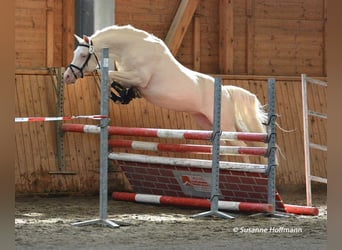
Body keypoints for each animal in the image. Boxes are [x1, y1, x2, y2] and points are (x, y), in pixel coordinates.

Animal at [62, 24, 268, 163]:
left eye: (82, 55)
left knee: (242, 148)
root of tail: (225, 91)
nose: (66, 76)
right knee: (229, 146)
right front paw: (122, 94)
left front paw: (118, 93)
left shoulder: (139, 77)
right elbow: (113, 78)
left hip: (225, 124)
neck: (131, 47)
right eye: (74, 53)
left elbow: (107, 74)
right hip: (206, 121)